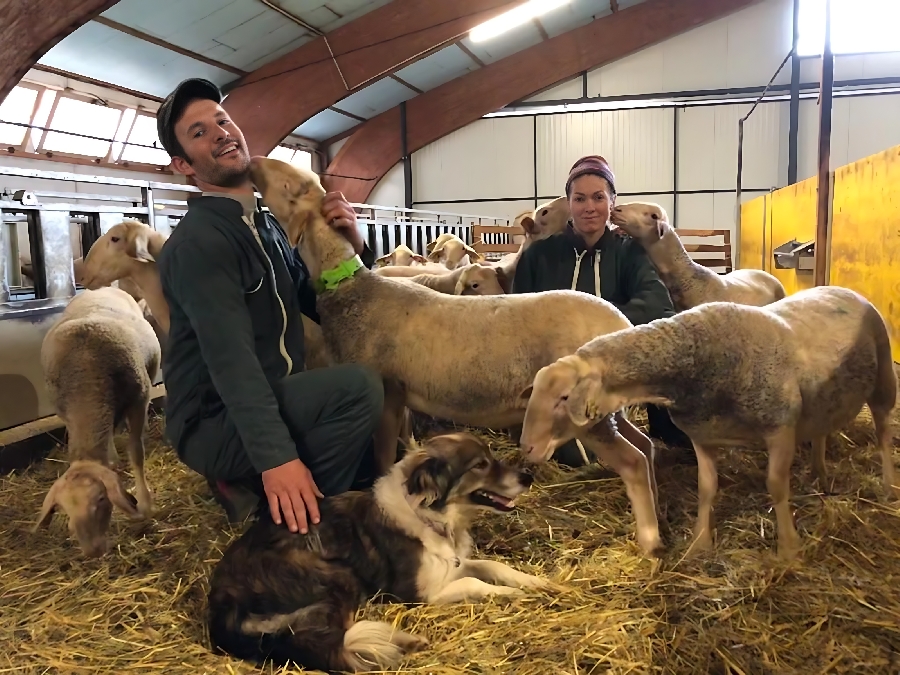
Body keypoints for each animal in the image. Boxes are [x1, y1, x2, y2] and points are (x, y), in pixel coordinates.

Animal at [34, 286, 160, 556]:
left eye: (102, 499)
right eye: (64, 508)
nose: (93, 551)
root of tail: (103, 288)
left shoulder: (139, 400)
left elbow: (136, 452)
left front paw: (145, 504)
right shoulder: (67, 412)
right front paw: (112, 461)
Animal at [246, 160, 660, 560]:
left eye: (291, 186)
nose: (253, 163)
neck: (354, 291)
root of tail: (620, 323)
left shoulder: (388, 391)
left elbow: (384, 457)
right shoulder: (402, 396)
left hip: (582, 411)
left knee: (633, 460)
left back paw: (649, 540)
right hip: (605, 408)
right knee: (645, 445)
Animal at [520, 284, 900, 560]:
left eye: (563, 398)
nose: (526, 447)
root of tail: (845, 289)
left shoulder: (780, 428)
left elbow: (777, 487)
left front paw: (789, 549)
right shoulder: (703, 436)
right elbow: (706, 489)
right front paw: (700, 543)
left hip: (883, 377)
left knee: (883, 432)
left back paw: (888, 485)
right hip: (822, 397)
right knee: (822, 429)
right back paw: (819, 474)